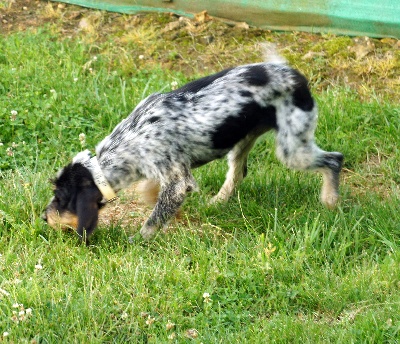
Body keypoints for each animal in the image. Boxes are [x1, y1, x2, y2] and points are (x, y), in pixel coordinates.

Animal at [43, 47, 344, 243]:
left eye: (60, 199)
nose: (44, 218)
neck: (129, 139)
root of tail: (295, 75)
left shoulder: (177, 181)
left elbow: (153, 218)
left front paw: (139, 240)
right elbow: (152, 195)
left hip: (292, 148)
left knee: (335, 159)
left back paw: (330, 201)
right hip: (242, 142)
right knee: (238, 173)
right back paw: (217, 202)